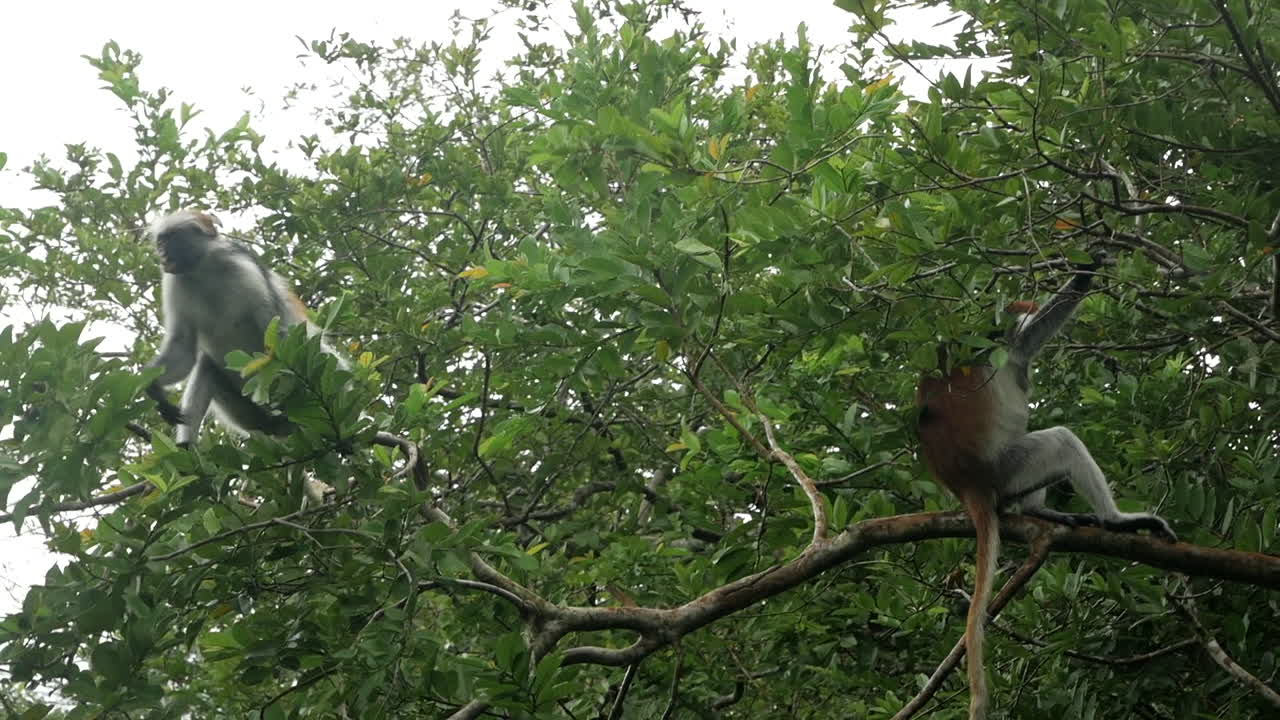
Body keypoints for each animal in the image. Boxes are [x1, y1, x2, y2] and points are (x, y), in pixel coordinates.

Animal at [143, 209, 341, 448]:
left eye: (169, 240)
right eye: (160, 242)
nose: (161, 253)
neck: (202, 269)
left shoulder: (243, 269)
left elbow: (278, 336)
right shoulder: (175, 282)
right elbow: (184, 348)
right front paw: (154, 386)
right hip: (248, 413)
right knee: (207, 365)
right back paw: (187, 450)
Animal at [915, 258, 1175, 720]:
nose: (1017, 312)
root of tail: (967, 485)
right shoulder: (999, 344)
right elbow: (1031, 337)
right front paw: (1089, 267)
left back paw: (1040, 513)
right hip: (1008, 469)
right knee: (1060, 440)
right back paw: (1116, 520)